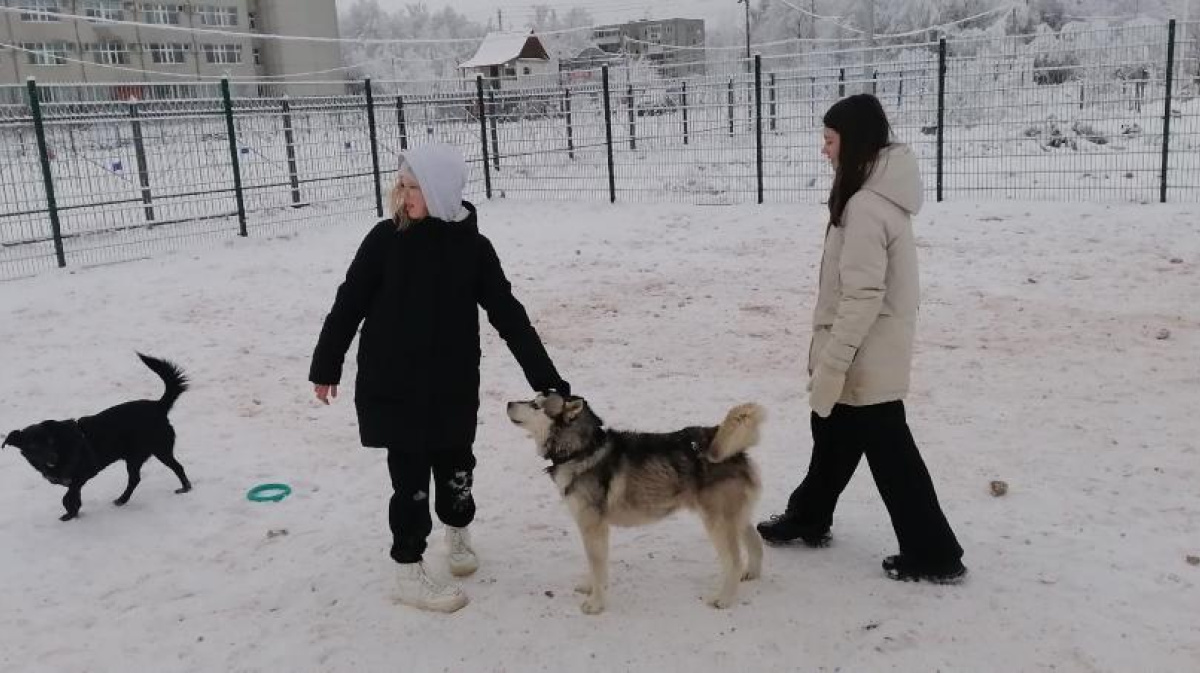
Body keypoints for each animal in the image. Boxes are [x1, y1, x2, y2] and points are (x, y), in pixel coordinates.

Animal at [3, 355, 192, 523]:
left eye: (50, 441)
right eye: (32, 446)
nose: (52, 458)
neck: (62, 447)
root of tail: (158, 406)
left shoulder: (82, 475)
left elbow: (67, 497)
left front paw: (70, 513)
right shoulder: (75, 481)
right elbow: (73, 497)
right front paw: (73, 513)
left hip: (159, 450)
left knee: (177, 467)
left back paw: (185, 488)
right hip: (135, 457)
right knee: (135, 479)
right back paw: (122, 500)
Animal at [501, 391, 763, 611]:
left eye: (536, 405)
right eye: (532, 398)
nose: (508, 403)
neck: (582, 449)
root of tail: (727, 445)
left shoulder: (593, 525)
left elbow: (597, 566)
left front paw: (595, 604)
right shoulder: (592, 527)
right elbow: (595, 566)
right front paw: (589, 587)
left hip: (717, 521)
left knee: (734, 560)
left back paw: (724, 599)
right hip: (734, 517)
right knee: (755, 541)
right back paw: (752, 572)